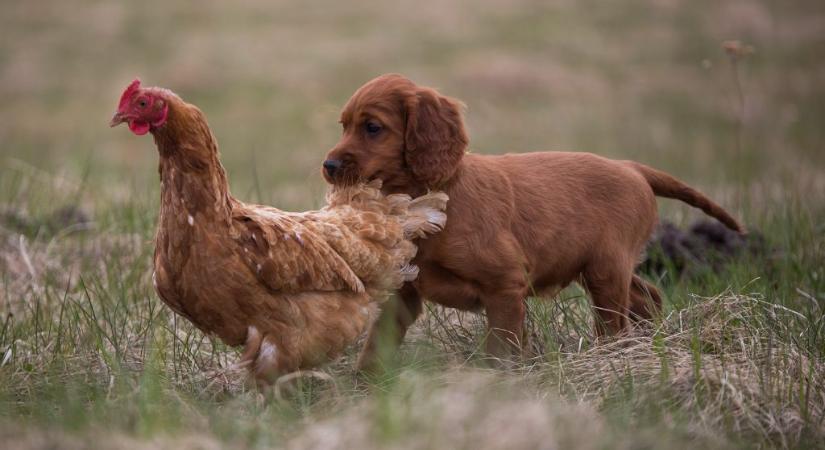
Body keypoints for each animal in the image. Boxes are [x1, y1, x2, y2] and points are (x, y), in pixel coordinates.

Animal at [320, 71, 740, 366]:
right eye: (344, 126)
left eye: (372, 128)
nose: (328, 166)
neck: (433, 200)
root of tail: (631, 167)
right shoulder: (403, 294)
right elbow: (375, 345)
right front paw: (361, 389)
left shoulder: (505, 286)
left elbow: (499, 349)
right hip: (601, 266)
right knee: (646, 295)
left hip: (606, 269)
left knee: (615, 318)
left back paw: (614, 357)